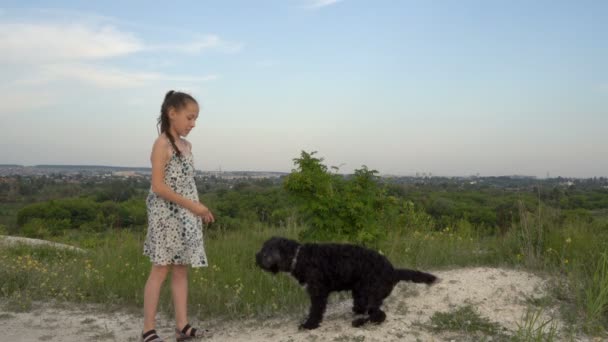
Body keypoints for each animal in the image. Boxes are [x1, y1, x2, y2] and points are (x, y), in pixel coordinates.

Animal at [255, 236, 436, 330]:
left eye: (265, 251)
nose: (256, 258)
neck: (299, 257)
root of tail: (393, 271)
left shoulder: (318, 293)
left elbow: (315, 311)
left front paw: (309, 325)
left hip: (371, 294)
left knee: (379, 315)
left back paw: (358, 322)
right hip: (361, 292)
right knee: (369, 310)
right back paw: (357, 312)